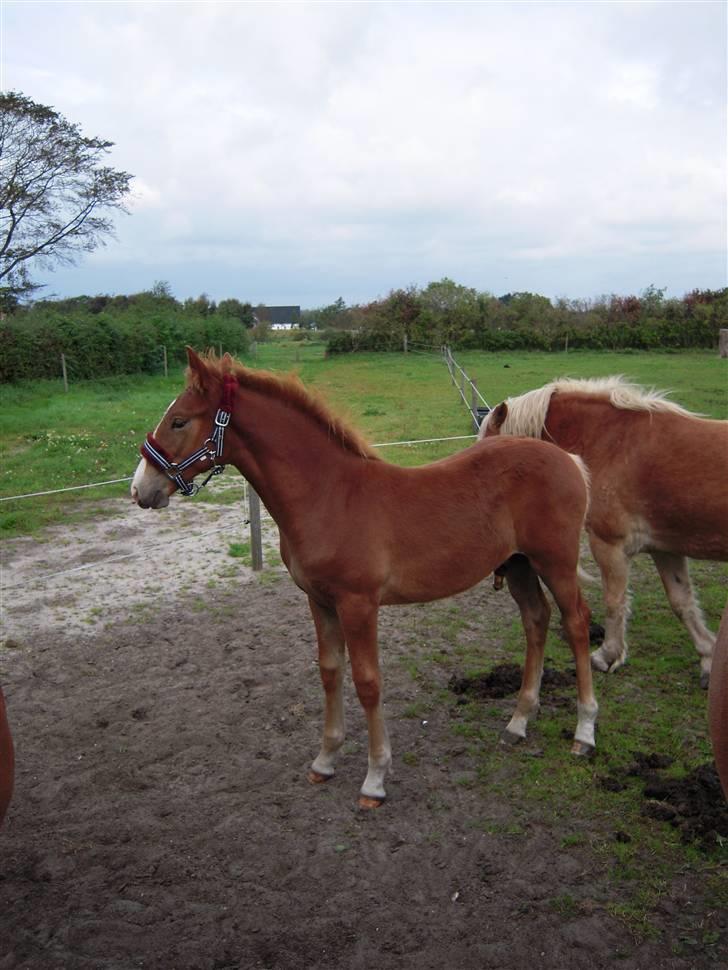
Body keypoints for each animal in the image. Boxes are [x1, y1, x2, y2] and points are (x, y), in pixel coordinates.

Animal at [132, 352, 596, 804]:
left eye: (179, 420)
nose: (140, 489)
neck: (329, 496)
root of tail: (568, 460)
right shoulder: (319, 601)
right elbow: (330, 671)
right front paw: (325, 760)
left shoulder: (359, 604)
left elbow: (368, 682)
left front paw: (375, 778)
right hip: (519, 564)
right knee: (536, 621)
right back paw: (518, 722)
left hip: (555, 562)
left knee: (575, 623)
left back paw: (584, 732)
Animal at [478, 374, 728, 684]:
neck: (611, 441)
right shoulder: (665, 549)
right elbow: (682, 602)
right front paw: (708, 656)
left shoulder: (609, 544)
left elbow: (614, 600)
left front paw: (607, 655)